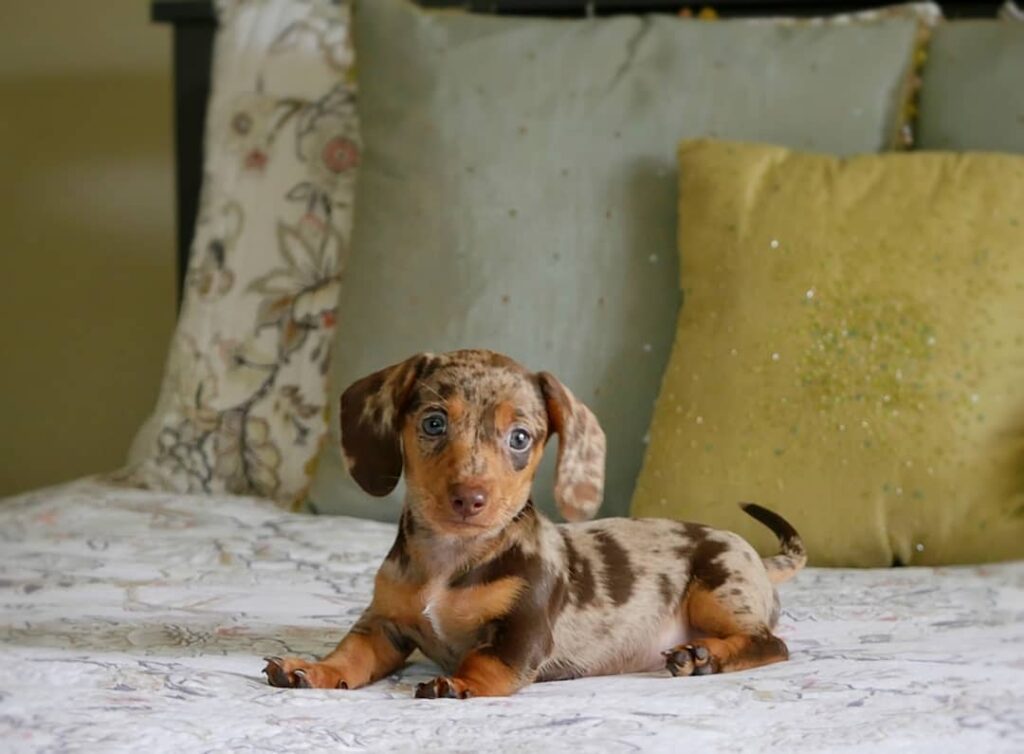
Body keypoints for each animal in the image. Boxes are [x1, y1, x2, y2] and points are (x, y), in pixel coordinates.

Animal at [263, 349, 806, 698]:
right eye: (434, 423)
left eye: (520, 437)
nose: (469, 498)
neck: (450, 561)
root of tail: (758, 558)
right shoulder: (384, 625)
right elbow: (352, 653)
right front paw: (313, 669)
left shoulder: (524, 627)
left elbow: (487, 659)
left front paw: (459, 683)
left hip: (717, 589)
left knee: (771, 642)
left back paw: (704, 656)